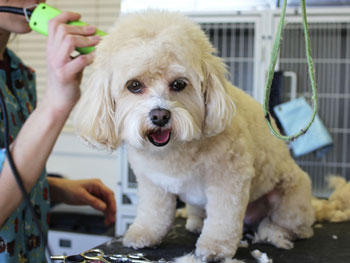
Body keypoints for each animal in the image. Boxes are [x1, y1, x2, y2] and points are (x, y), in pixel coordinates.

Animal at [75, 9, 316, 262]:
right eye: (134, 85)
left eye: (179, 84)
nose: (160, 116)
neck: (173, 150)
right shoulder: (152, 182)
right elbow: (153, 213)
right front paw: (144, 234)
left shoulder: (230, 179)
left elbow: (223, 218)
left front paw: (216, 247)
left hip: (291, 198)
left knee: (295, 226)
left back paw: (274, 231)